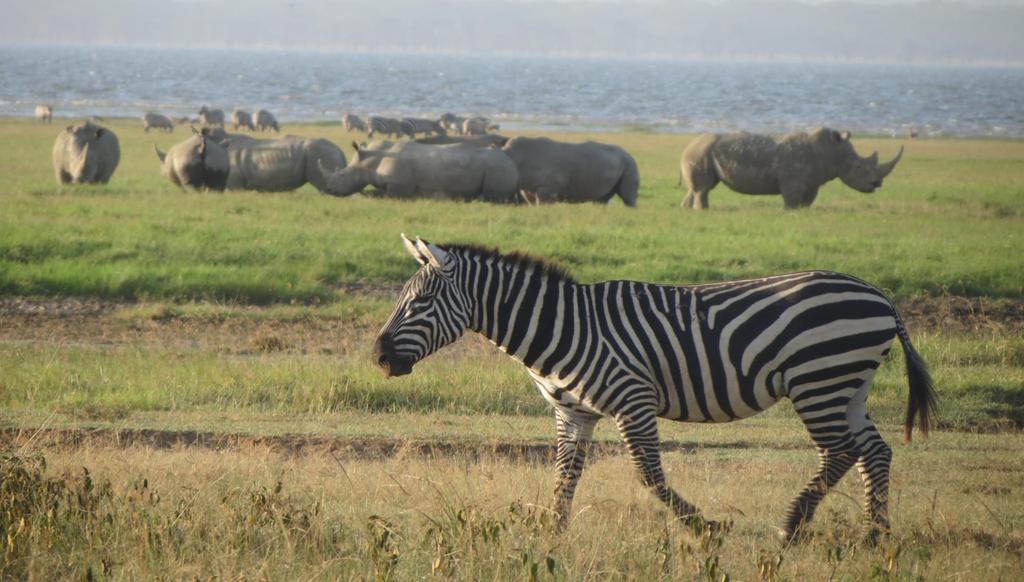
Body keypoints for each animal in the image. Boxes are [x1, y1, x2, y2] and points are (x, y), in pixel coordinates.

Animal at [374, 235, 937, 541]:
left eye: (420, 303)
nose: (379, 356)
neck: (562, 327)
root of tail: (879, 294)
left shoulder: (633, 399)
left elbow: (649, 475)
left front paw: (705, 528)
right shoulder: (572, 412)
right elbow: (564, 477)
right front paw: (552, 535)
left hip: (818, 380)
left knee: (839, 451)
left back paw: (792, 526)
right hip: (848, 385)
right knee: (874, 451)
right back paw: (874, 533)